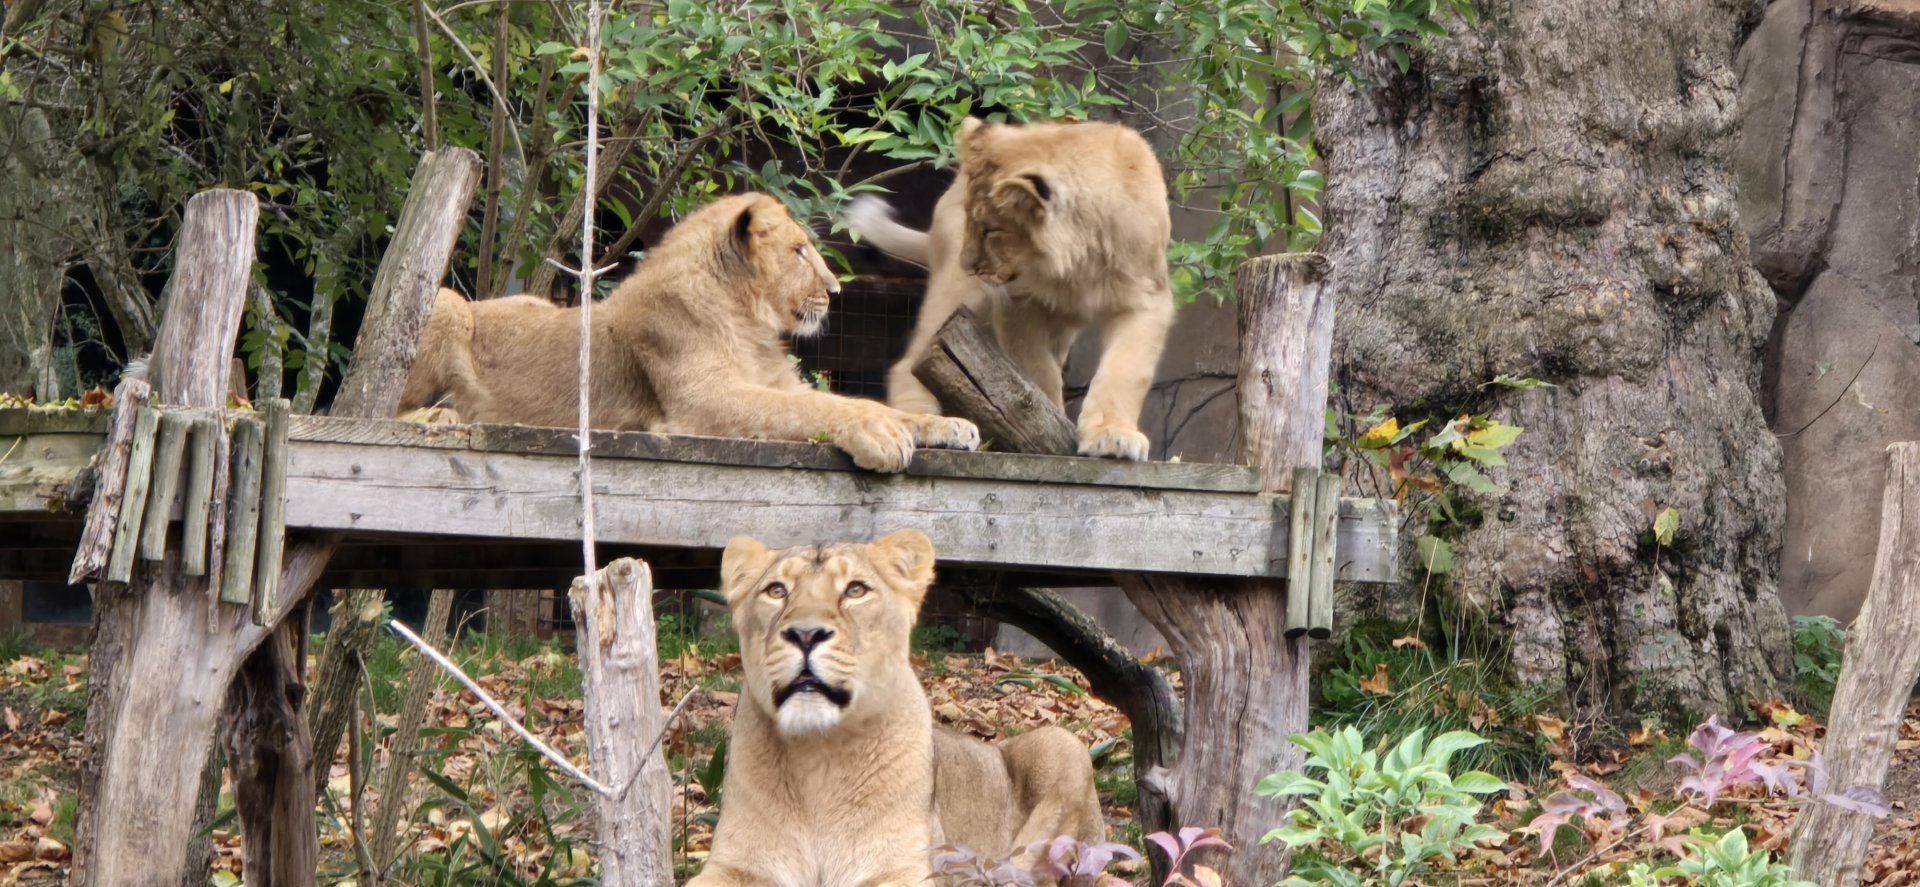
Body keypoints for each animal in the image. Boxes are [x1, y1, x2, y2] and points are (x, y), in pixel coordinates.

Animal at [397, 193, 979, 472]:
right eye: (798, 251)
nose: (836, 291)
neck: (748, 321)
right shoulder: (700, 400)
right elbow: (815, 408)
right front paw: (879, 435)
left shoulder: (772, 383)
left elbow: (851, 402)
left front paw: (949, 425)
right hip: (447, 304)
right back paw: (442, 414)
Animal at [688, 529, 1106, 887]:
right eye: (776, 590)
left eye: (855, 590)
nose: (805, 634)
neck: (817, 756)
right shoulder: (734, 866)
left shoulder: (903, 868)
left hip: (1061, 744)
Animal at [845, 117, 1176, 462]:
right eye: (970, 219)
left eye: (993, 230)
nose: (967, 265)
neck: (1077, 264)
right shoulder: (1016, 303)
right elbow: (1037, 372)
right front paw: (1048, 427)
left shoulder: (1149, 297)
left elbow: (1125, 369)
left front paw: (1112, 435)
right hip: (959, 292)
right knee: (908, 361)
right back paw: (930, 423)